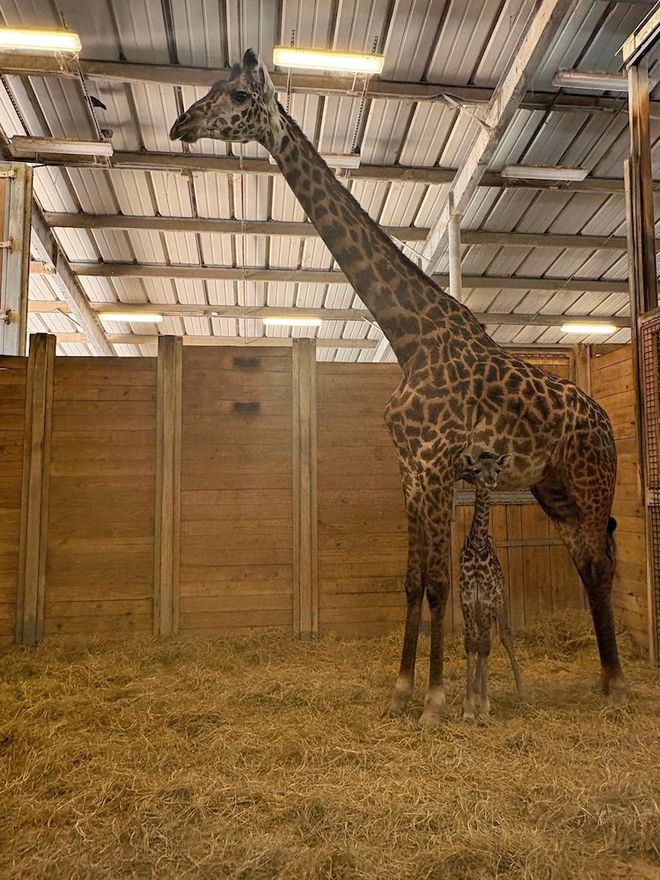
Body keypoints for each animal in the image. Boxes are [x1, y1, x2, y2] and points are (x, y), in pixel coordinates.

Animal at [170, 49, 625, 725]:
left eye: (237, 95)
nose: (181, 123)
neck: (411, 335)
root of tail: (608, 424)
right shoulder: (409, 467)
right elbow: (412, 581)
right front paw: (402, 693)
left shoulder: (435, 464)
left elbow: (438, 582)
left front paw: (435, 702)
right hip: (555, 491)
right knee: (587, 559)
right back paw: (600, 678)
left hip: (593, 482)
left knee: (598, 562)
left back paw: (616, 683)